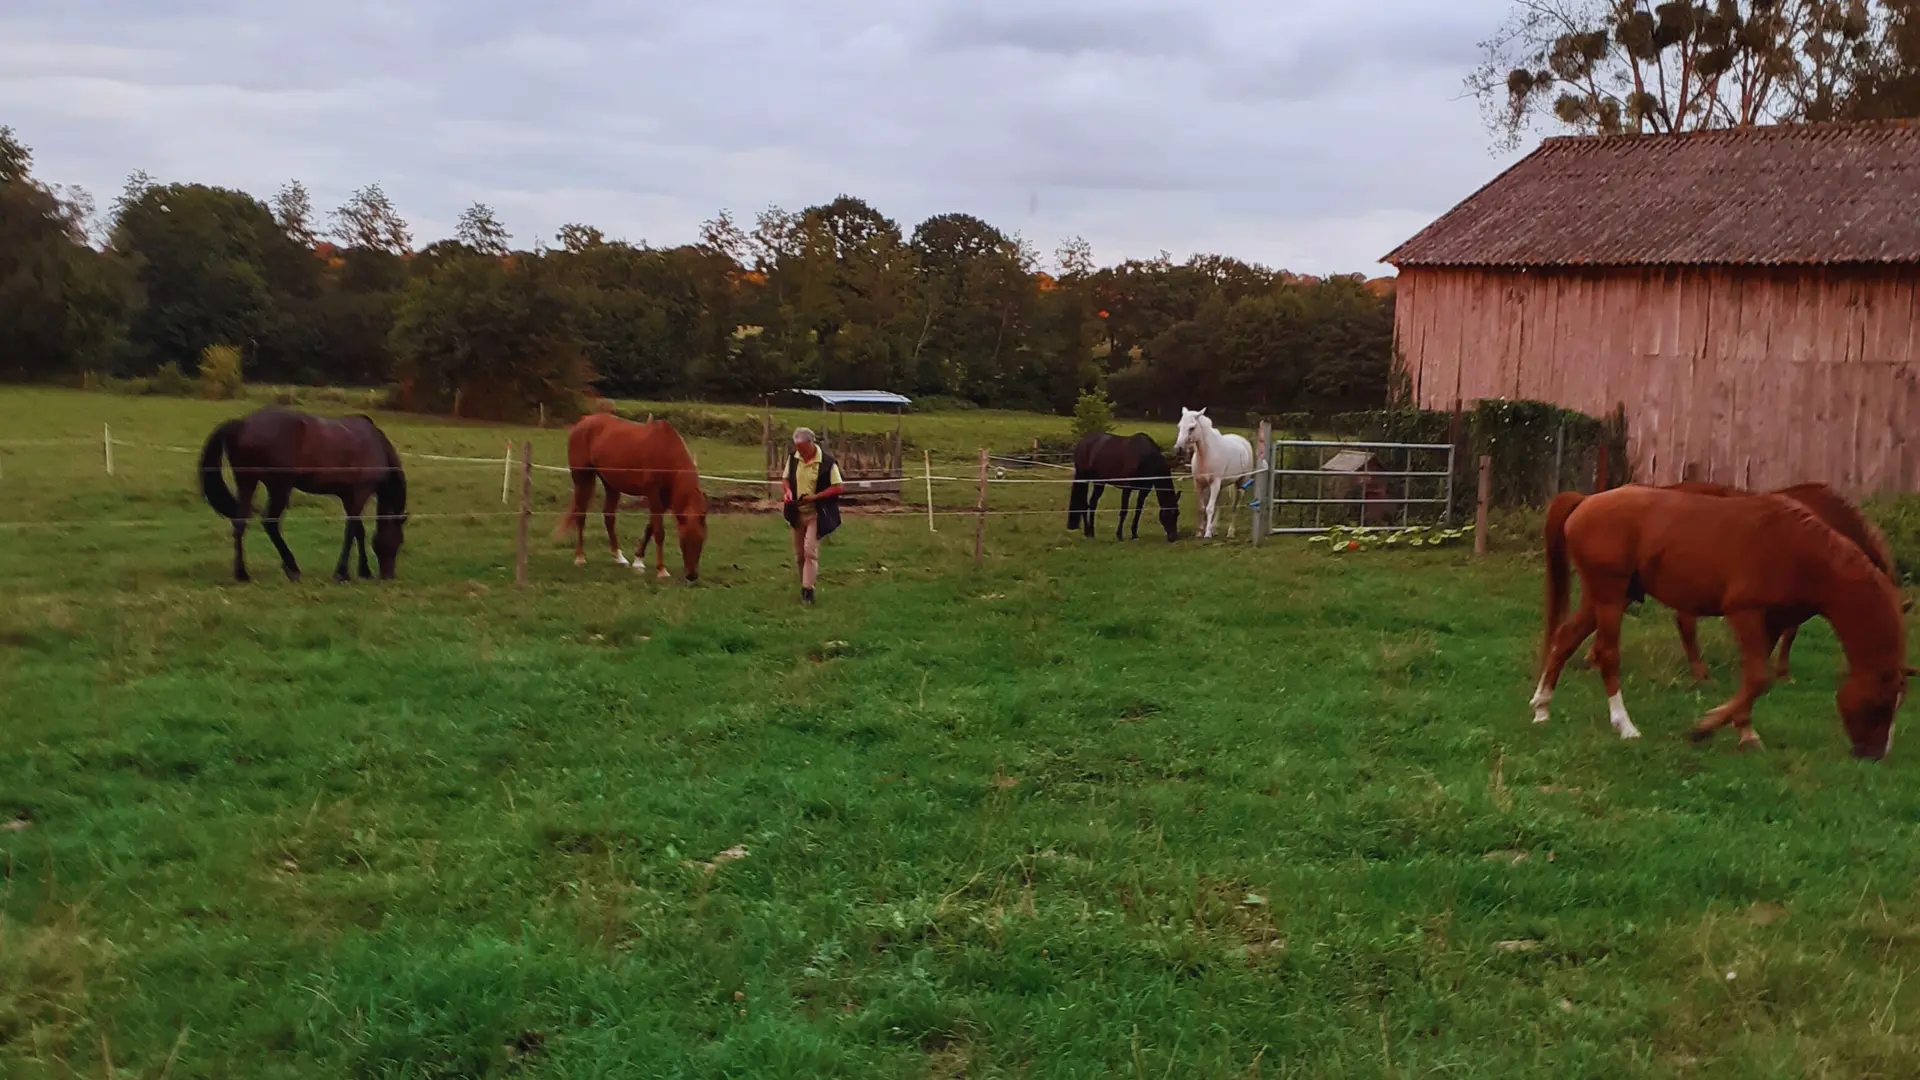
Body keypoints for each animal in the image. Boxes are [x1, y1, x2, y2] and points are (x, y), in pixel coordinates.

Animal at [198, 407, 408, 583]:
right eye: (399, 540)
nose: (388, 575)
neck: (377, 445)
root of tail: (242, 424)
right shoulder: (360, 492)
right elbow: (352, 531)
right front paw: (343, 573)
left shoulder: (348, 496)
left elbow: (358, 531)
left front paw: (363, 571)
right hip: (279, 487)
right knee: (270, 522)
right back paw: (292, 568)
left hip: (247, 483)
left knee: (240, 523)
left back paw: (242, 574)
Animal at [555, 411, 708, 581]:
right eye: (683, 540)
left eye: (702, 540)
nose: (691, 575)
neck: (665, 452)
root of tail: (583, 421)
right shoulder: (654, 497)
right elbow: (659, 532)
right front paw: (661, 570)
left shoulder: (665, 502)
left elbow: (650, 528)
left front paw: (638, 561)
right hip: (582, 479)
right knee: (581, 516)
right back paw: (580, 558)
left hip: (611, 484)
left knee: (609, 517)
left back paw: (619, 557)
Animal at [1172, 407, 1255, 540]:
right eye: (1179, 426)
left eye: (1192, 428)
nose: (1178, 449)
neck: (1206, 455)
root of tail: (1243, 442)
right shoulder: (1199, 484)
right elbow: (1202, 507)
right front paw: (1200, 532)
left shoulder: (1214, 483)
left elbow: (1210, 508)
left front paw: (1207, 534)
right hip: (1221, 486)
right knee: (1219, 505)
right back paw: (1214, 529)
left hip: (1241, 484)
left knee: (1235, 506)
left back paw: (1230, 532)